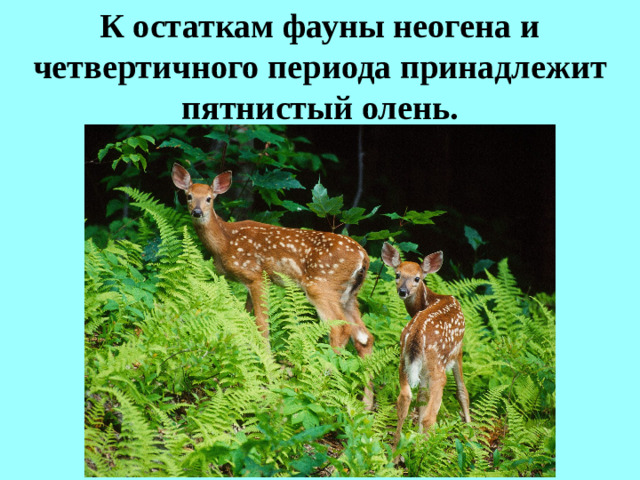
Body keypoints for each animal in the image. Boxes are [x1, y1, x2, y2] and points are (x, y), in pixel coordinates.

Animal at [171, 163, 375, 407]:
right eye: (189, 196)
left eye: (210, 198)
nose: (197, 212)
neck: (225, 242)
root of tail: (364, 257)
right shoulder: (248, 282)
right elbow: (245, 320)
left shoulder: (257, 275)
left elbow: (262, 324)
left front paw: (268, 368)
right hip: (349, 295)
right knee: (364, 337)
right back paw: (367, 404)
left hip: (321, 285)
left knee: (339, 328)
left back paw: (322, 384)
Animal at [381, 242, 471, 449]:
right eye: (397, 274)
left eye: (417, 278)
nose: (402, 291)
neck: (432, 299)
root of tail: (415, 334)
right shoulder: (458, 349)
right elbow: (463, 392)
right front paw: (473, 435)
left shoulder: (420, 368)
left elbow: (421, 397)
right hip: (438, 366)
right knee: (431, 414)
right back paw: (423, 450)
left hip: (403, 360)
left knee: (405, 398)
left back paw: (395, 451)